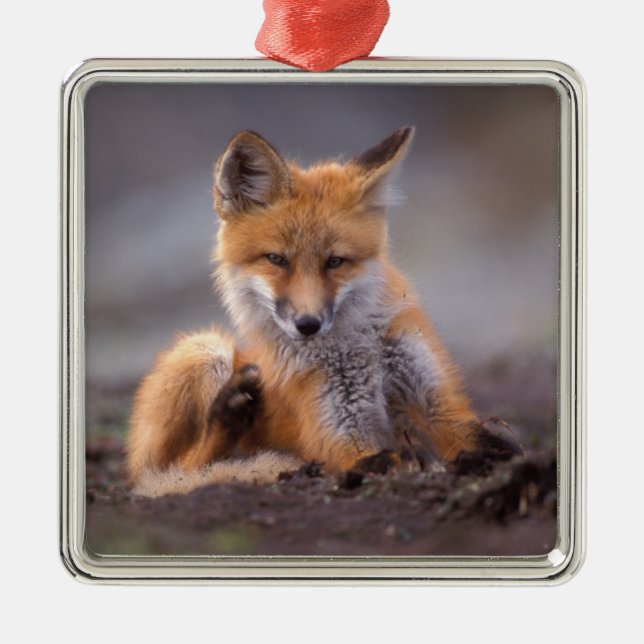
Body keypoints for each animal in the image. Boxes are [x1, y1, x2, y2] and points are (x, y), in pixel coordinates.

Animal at [127, 127, 519, 497]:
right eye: (276, 259)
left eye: (335, 262)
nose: (308, 324)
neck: (358, 348)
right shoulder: (340, 434)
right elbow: (380, 458)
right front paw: (415, 461)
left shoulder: (437, 405)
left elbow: (497, 443)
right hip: (204, 350)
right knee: (178, 468)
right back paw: (228, 417)